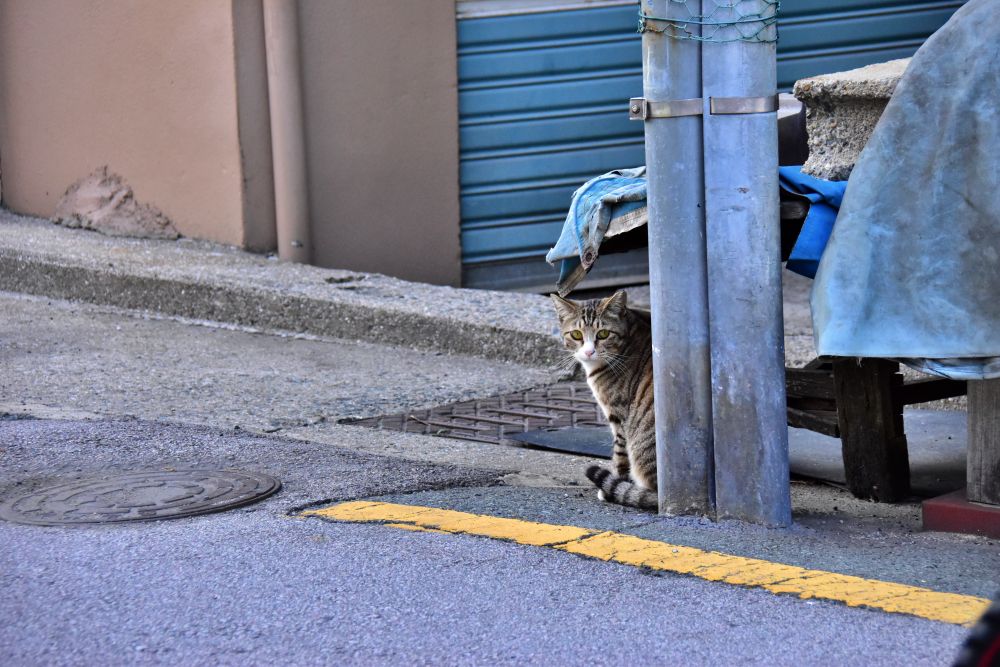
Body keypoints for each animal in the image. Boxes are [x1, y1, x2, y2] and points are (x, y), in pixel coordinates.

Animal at [552, 290, 660, 508]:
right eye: (576, 335)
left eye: (603, 334)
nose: (588, 351)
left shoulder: (619, 416)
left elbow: (620, 457)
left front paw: (613, 488)